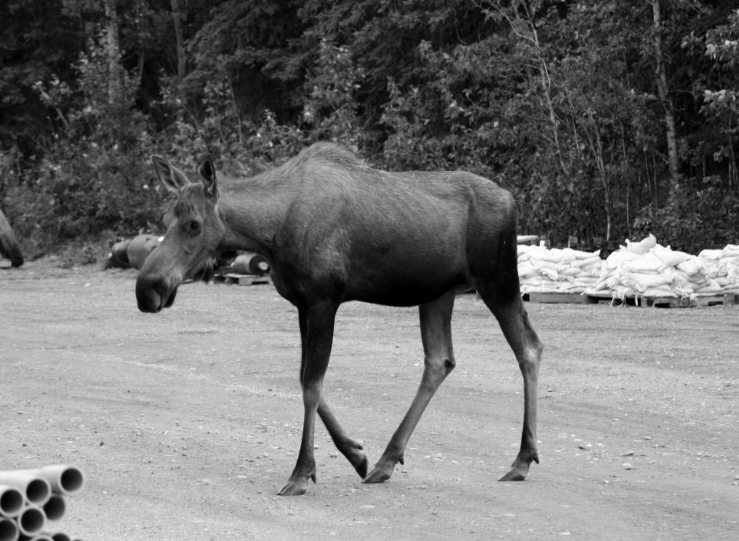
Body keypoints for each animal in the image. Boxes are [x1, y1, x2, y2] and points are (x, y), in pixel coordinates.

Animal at [137, 142, 544, 494]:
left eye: (193, 223)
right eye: (164, 218)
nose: (147, 289)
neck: (270, 234)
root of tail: (510, 200)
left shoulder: (323, 300)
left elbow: (311, 384)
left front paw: (302, 472)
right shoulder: (303, 304)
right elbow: (304, 378)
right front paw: (356, 454)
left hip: (498, 279)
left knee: (529, 348)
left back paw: (522, 459)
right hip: (437, 293)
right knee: (440, 359)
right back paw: (385, 461)